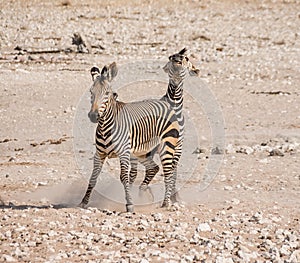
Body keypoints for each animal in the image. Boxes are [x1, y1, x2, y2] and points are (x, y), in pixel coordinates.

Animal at [78, 62, 180, 212]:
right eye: (91, 92)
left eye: (107, 93)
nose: (93, 116)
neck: (105, 127)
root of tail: (165, 103)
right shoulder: (99, 154)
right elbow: (93, 177)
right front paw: (84, 202)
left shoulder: (124, 153)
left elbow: (124, 178)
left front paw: (130, 204)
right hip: (142, 152)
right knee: (154, 168)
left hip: (167, 146)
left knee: (168, 173)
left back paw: (166, 203)